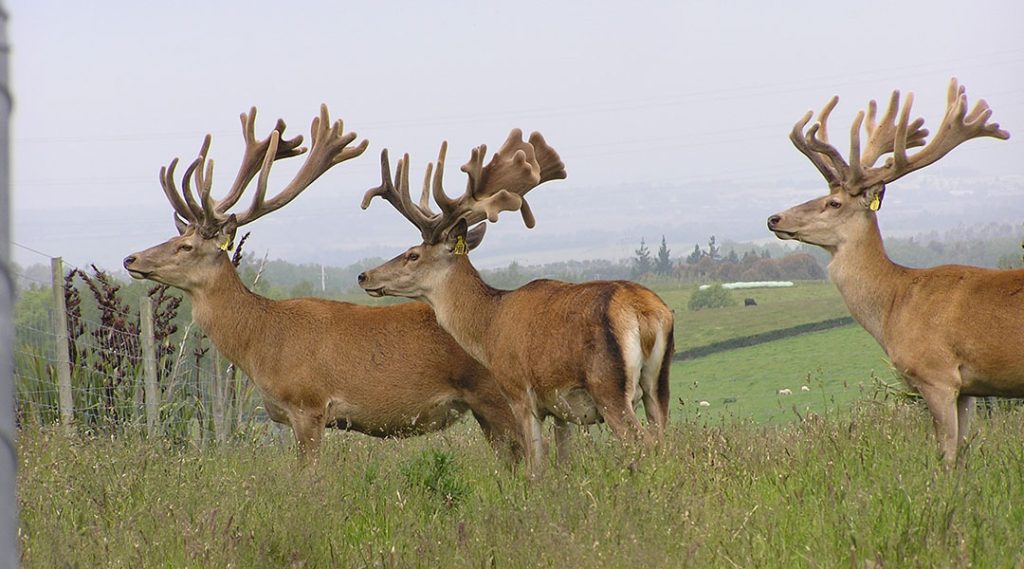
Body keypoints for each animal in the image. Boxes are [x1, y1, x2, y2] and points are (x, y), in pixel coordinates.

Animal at [123, 105, 521, 463]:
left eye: (185, 246)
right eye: (174, 236)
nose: (131, 259)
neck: (261, 342)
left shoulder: (308, 404)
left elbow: (309, 476)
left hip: (496, 395)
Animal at [356, 130, 675, 475]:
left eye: (413, 254)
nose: (364, 276)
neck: (488, 327)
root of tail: (646, 312)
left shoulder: (519, 392)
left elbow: (536, 467)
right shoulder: (561, 410)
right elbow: (564, 463)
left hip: (608, 386)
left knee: (644, 443)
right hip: (658, 382)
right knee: (663, 439)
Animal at [766, 78, 1013, 465]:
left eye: (833, 203)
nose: (775, 218)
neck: (896, 303)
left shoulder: (937, 375)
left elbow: (946, 454)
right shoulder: (968, 389)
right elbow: (961, 452)